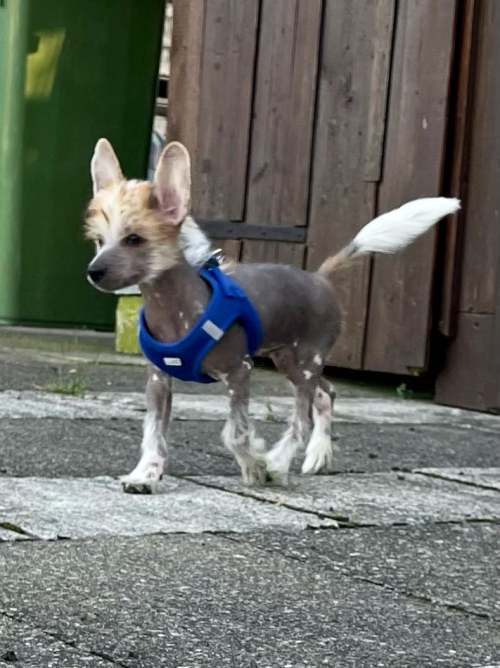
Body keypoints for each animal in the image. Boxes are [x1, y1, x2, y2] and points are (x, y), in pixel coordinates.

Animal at [85, 138, 460, 494]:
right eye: (99, 240)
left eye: (134, 239)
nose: (93, 272)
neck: (176, 309)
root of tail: (320, 277)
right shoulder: (158, 381)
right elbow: (153, 433)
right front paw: (146, 475)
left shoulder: (239, 372)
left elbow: (236, 433)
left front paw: (256, 464)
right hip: (290, 362)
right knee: (326, 393)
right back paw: (318, 454)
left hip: (305, 361)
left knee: (303, 419)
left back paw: (280, 463)